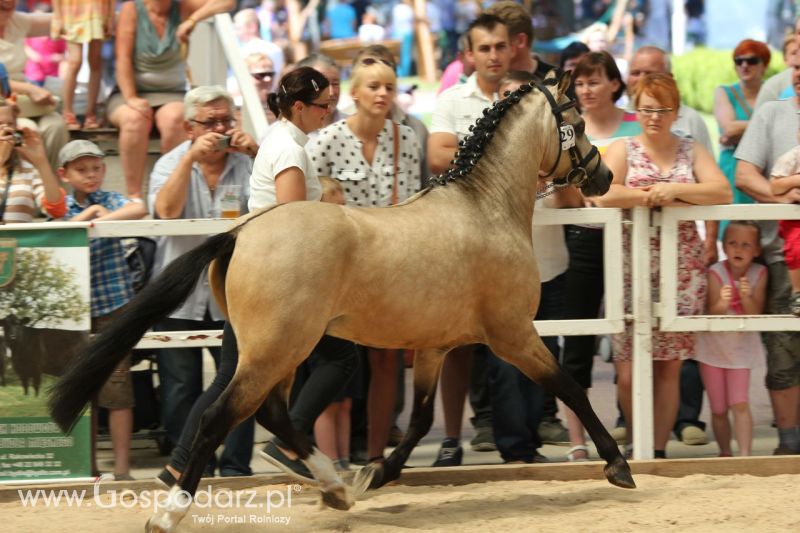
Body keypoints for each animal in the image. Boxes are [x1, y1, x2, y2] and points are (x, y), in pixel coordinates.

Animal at [50, 71, 636, 532]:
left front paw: (378, 473)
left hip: (274, 349)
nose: (604, 176)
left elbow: (421, 418)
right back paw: (170, 513)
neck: (485, 209)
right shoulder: (513, 334)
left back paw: (334, 486)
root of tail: (241, 232)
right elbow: (569, 388)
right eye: (578, 123)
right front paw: (618, 466)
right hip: (279, 348)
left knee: (274, 413)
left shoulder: (435, 346)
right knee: (223, 415)